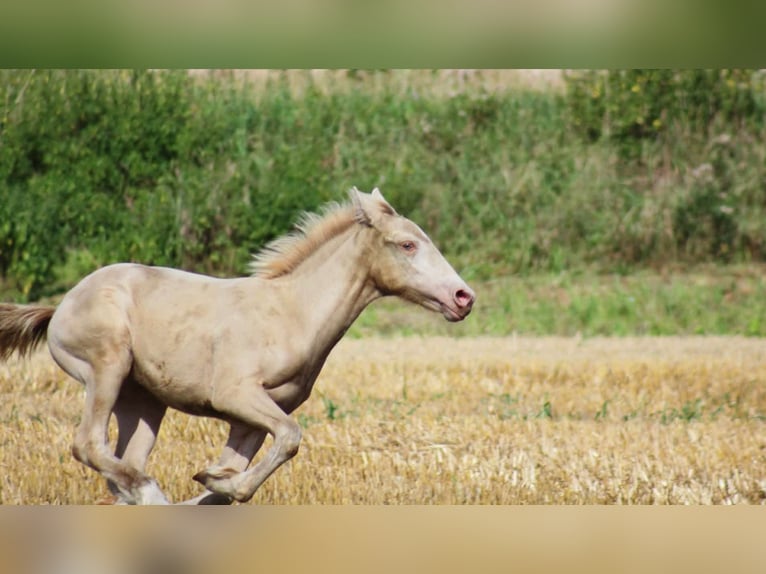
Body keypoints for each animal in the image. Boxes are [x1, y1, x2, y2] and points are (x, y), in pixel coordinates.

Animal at [0, 187, 475, 504]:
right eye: (407, 244)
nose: (463, 297)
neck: (292, 313)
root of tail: (60, 307)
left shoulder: (251, 419)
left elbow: (235, 480)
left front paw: (212, 478)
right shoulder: (235, 395)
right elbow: (290, 437)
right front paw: (210, 480)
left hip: (144, 400)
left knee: (122, 466)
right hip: (106, 368)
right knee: (88, 444)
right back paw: (151, 492)